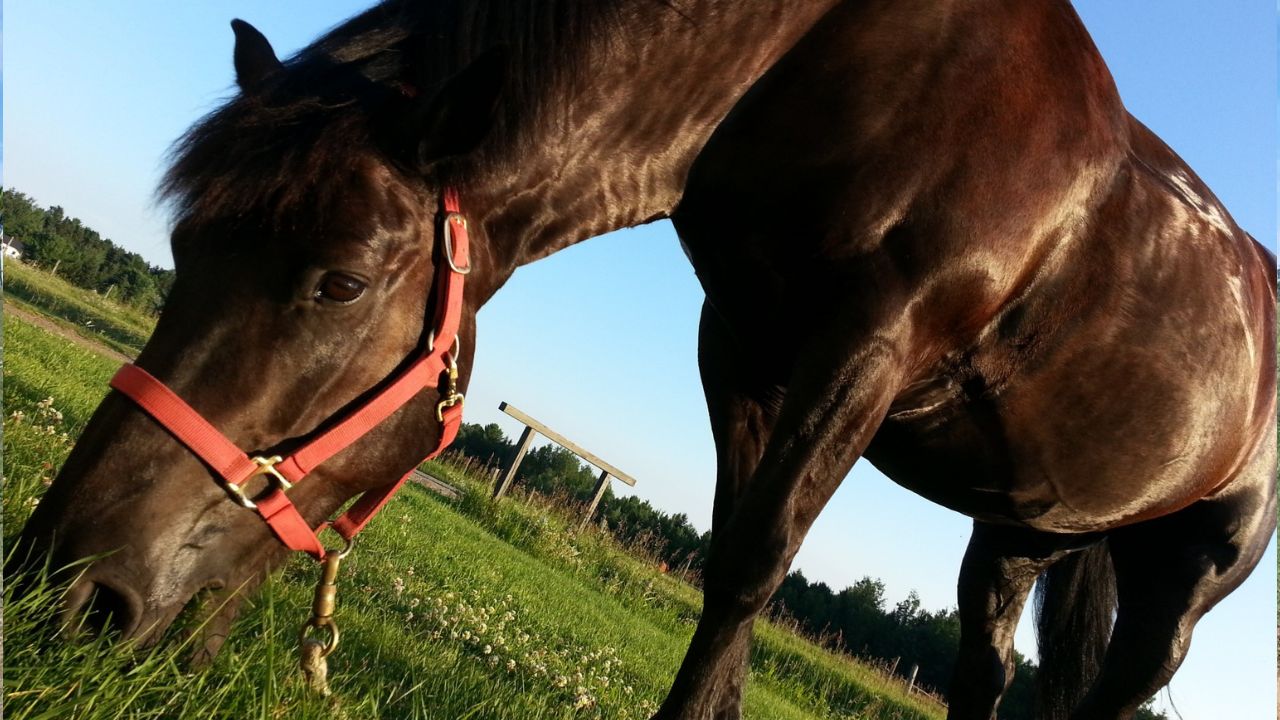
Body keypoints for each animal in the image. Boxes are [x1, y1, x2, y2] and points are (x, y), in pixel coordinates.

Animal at [15, 1, 1274, 717]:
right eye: (185, 246)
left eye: (339, 283)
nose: (60, 586)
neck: (830, 68)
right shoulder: (746, 352)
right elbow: (729, 556)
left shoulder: (867, 351)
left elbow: (750, 567)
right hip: (1014, 538)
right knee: (987, 672)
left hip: (1192, 573)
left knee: (1120, 689)